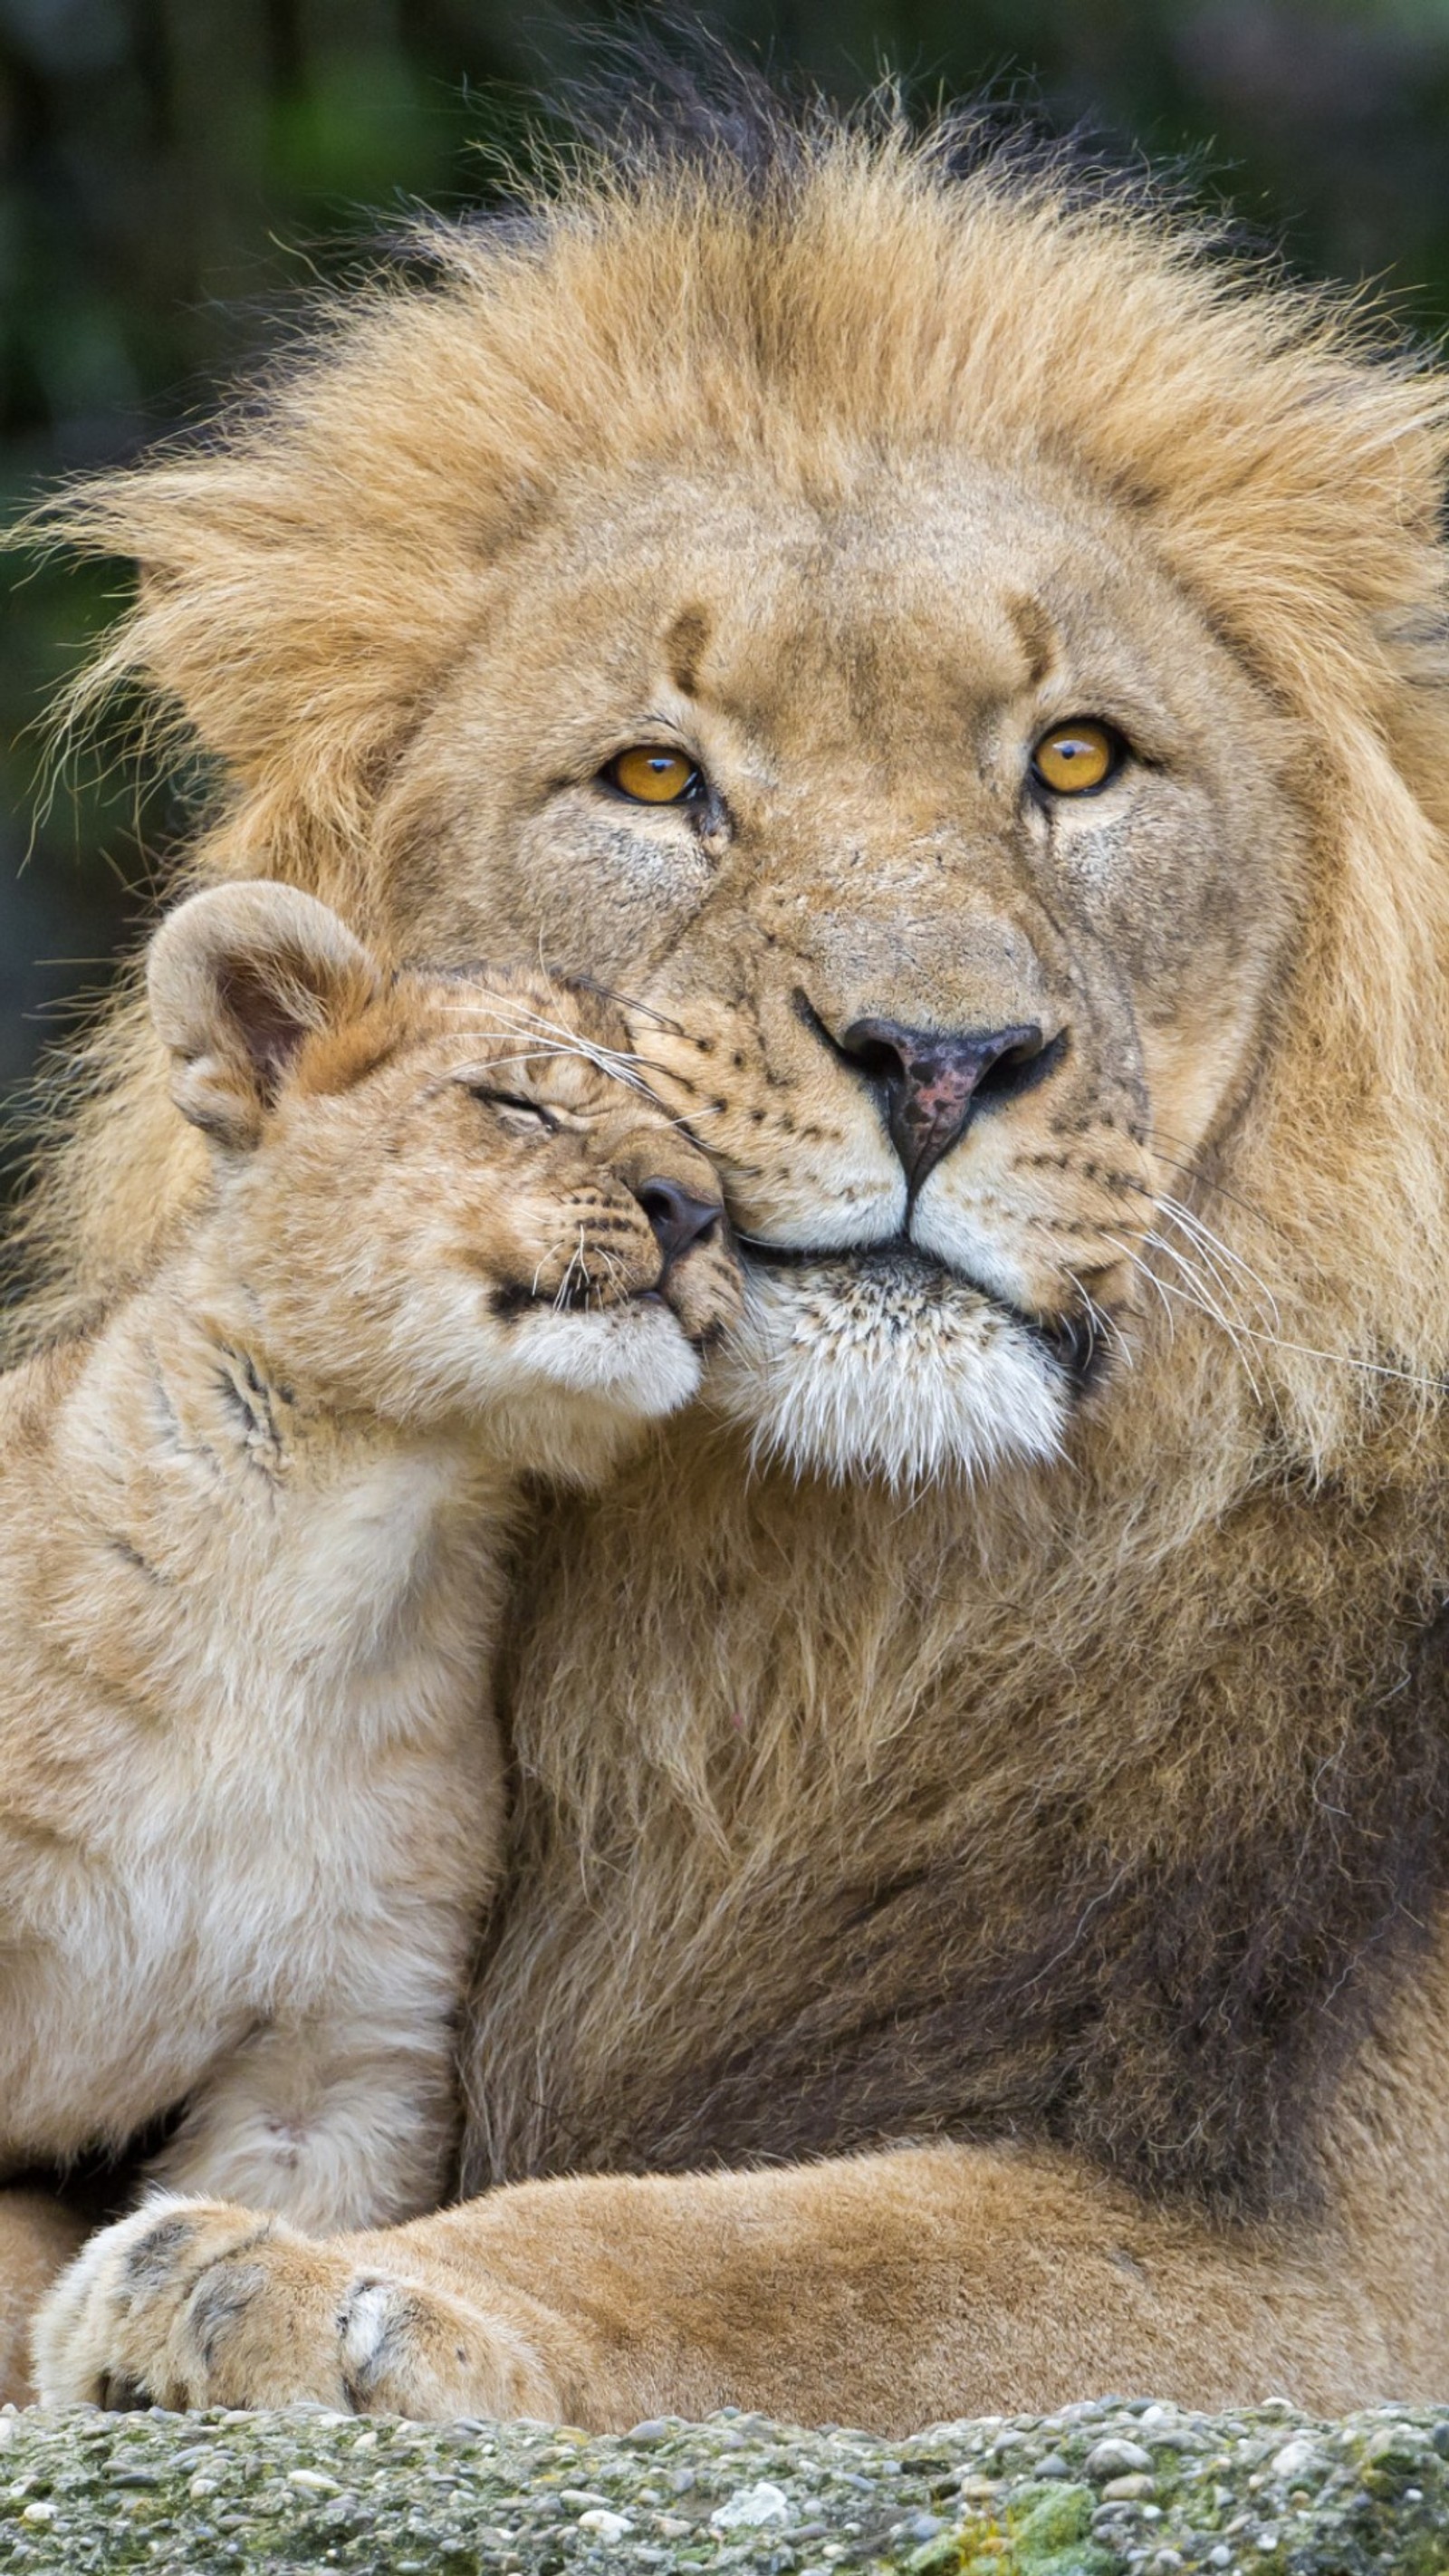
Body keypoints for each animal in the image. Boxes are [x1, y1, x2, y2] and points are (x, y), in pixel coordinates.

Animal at [8, 70, 1449, 2421]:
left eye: (1076, 758)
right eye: (650, 777)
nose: (938, 1058)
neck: (806, 1617)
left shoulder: (1354, 2274)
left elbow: (799, 2256)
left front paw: (318, 2285)